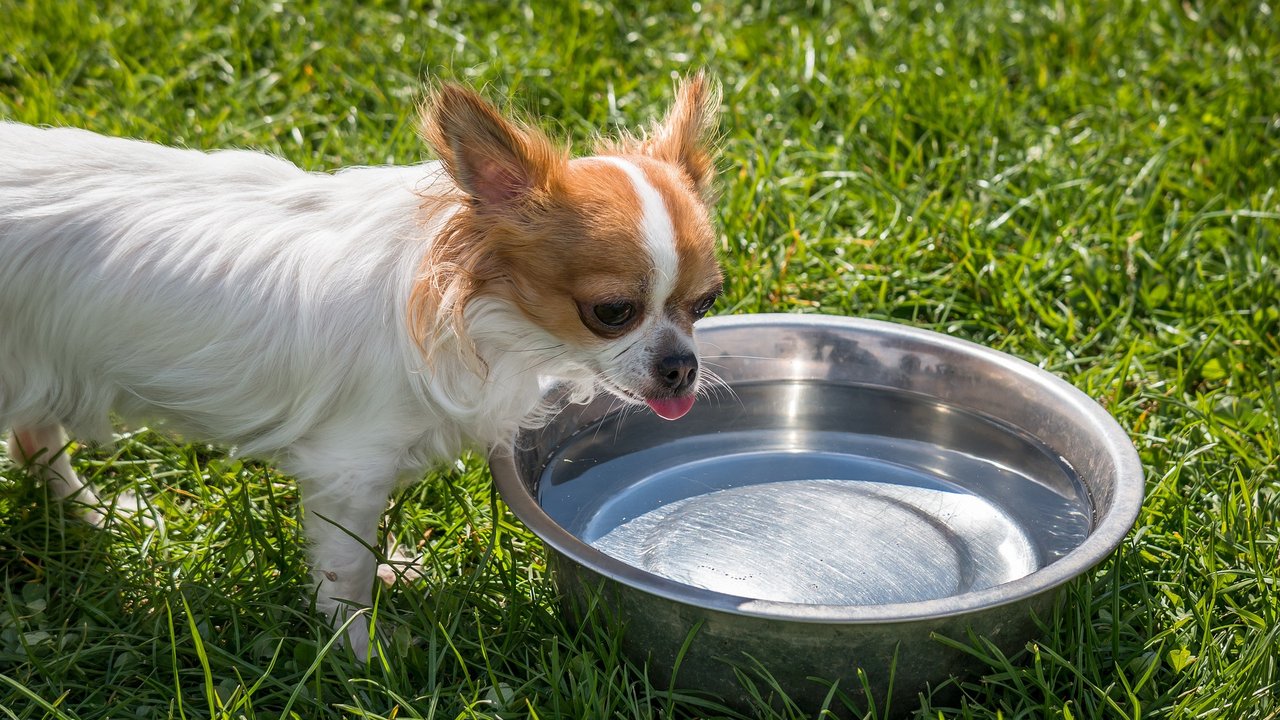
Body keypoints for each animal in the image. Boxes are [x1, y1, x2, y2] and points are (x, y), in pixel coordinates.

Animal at [0, 74, 721, 655]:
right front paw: (360, 653)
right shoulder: (350, 468)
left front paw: (388, 581)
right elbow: (343, 566)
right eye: (612, 312)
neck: (481, 311)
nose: (681, 366)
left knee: (35, 439)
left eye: (707, 302)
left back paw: (98, 515)